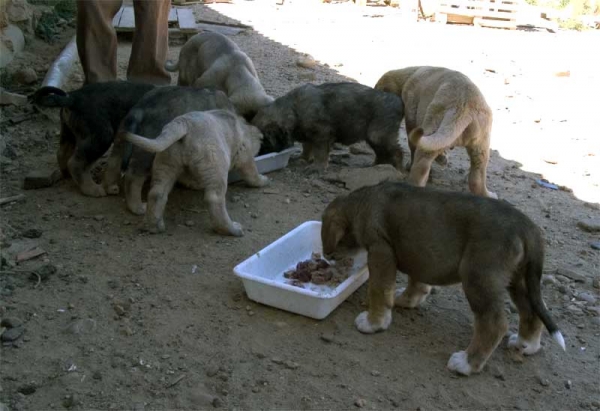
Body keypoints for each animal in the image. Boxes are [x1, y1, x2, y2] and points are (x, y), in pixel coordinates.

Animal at [102, 85, 236, 217]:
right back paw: (138, 208)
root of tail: (140, 109)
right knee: (133, 177)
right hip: (149, 149)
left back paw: (111, 187)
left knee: (113, 162)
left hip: (122, 137)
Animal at [124, 109, 268, 237]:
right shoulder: (245, 155)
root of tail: (183, 123)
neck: (244, 128)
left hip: (166, 162)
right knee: (214, 199)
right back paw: (231, 229)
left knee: (156, 193)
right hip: (217, 164)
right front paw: (262, 180)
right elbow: (252, 172)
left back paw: (153, 226)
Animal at [251, 82, 406, 172]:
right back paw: (375, 167)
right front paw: (303, 158)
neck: (294, 110)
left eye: (264, 144)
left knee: (397, 152)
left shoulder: (322, 135)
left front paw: (317, 166)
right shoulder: (309, 136)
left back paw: (398, 170)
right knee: (382, 153)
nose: (256, 156)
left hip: (379, 135)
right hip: (374, 137)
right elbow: (307, 147)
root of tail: (399, 102)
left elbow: (320, 152)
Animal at [324, 182, 564, 378]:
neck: (362, 203)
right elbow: (417, 282)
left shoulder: (380, 252)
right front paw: (406, 299)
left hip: (478, 277)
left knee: (494, 323)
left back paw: (467, 363)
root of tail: (528, 227)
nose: (328, 259)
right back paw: (526, 344)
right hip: (520, 280)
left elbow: (378, 291)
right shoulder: (418, 254)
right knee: (533, 311)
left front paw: (373, 322)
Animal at [376, 65, 496, 198]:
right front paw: (442, 158)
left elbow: (413, 144)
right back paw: (490, 195)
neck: (408, 76)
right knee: (477, 174)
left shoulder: (411, 112)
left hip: (434, 117)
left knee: (422, 162)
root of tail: (464, 107)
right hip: (481, 139)